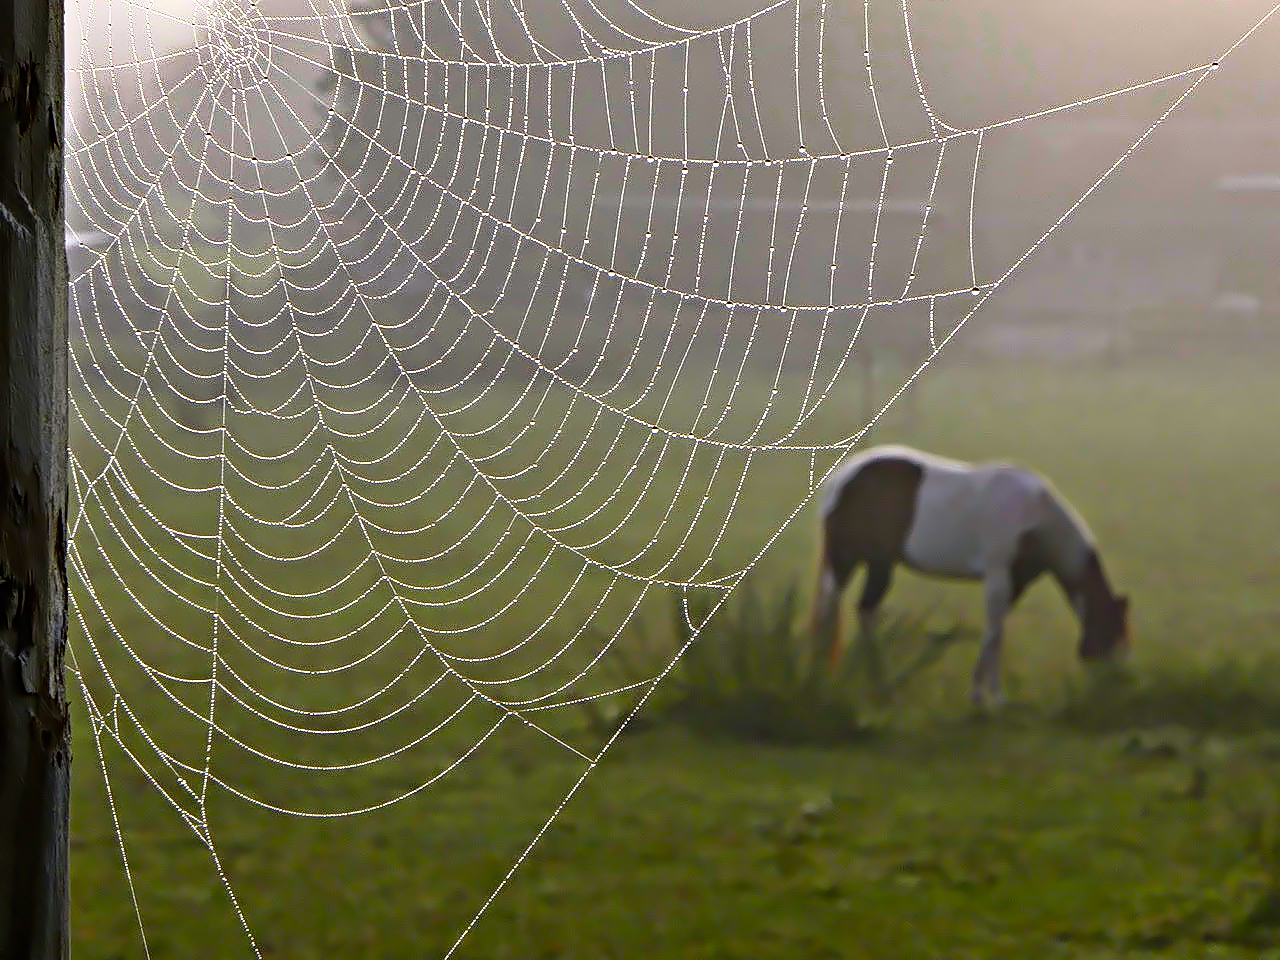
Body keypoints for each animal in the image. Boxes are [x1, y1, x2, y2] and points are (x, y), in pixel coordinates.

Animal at [808, 445, 1131, 706]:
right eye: (1113, 633)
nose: (1118, 684)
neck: (1035, 518)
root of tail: (840, 479)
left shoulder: (1015, 584)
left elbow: (994, 633)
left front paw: (984, 694)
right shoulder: (998, 577)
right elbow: (994, 635)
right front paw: (992, 697)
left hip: (880, 564)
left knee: (865, 612)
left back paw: (881, 687)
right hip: (844, 563)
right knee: (829, 615)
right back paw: (827, 682)